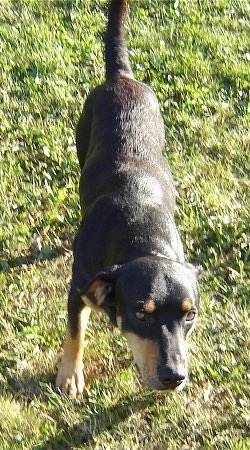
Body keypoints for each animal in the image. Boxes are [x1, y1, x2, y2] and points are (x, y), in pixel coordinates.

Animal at [55, 0, 200, 398]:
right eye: (140, 312)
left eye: (190, 314)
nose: (174, 376)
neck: (141, 237)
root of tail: (121, 76)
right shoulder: (78, 288)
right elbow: (75, 332)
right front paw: (69, 375)